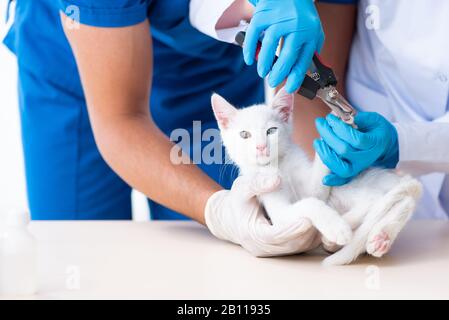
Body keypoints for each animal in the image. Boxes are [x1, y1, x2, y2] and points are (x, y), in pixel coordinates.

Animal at [210, 87, 420, 264]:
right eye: (244, 135)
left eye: (271, 131)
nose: (261, 147)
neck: (280, 166)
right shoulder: (278, 210)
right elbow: (310, 203)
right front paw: (335, 227)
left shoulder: (314, 187)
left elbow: (315, 193)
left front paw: (330, 139)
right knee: (389, 200)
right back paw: (370, 235)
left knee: (381, 199)